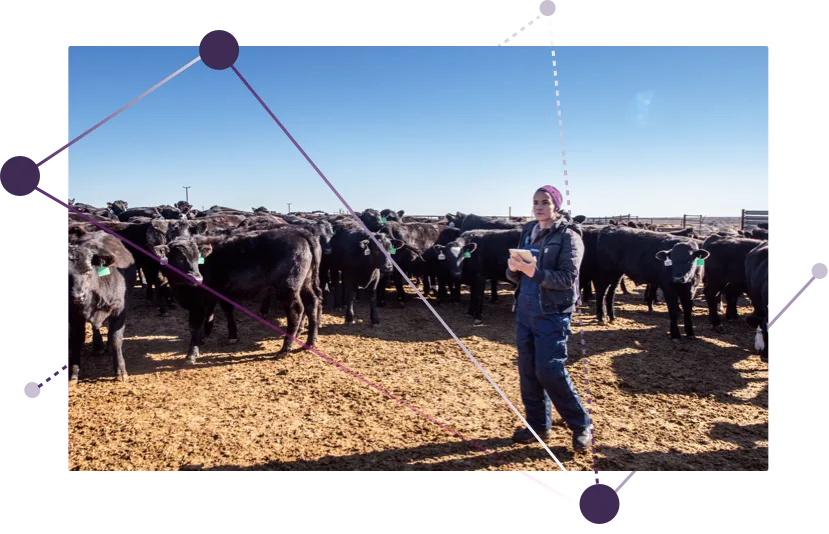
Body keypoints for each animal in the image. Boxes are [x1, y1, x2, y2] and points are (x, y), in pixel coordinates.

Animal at [68, 230, 137, 386]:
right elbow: (76, 340)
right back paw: (98, 346)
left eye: (88, 271)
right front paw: (73, 373)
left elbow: (116, 339)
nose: (77, 296)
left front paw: (121, 372)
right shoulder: (73, 315)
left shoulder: (120, 311)